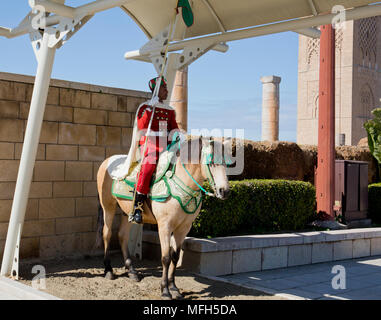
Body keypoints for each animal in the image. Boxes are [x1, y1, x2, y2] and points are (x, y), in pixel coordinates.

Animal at [96, 136, 230, 300]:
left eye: (227, 163)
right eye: (211, 163)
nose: (224, 191)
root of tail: (108, 160)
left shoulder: (183, 228)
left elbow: (175, 256)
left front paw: (174, 287)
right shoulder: (165, 226)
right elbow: (165, 258)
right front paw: (165, 290)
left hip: (126, 211)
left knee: (122, 236)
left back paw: (131, 271)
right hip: (108, 206)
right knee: (107, 234)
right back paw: (108, 270)